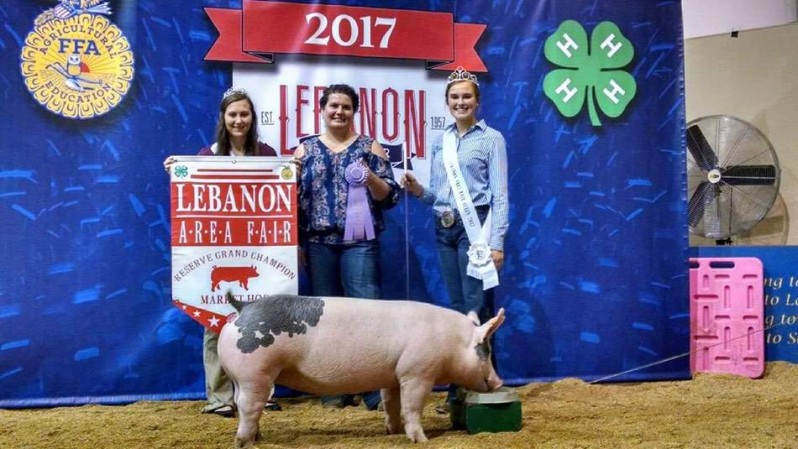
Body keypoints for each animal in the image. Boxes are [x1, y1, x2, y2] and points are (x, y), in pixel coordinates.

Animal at [219, 288, 506, 446]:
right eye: (485, 350)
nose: (500, 381)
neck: (451, 341)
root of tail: (244, 308)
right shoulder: (417, 373)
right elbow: (412, 406)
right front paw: (422, 440)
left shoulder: (394, 375)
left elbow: (391, 404)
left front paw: (392, 432)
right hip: (255, 372)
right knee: (249, 406)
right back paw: (245, 443)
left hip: (240, 377)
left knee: (243, 405)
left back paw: (258, 439)